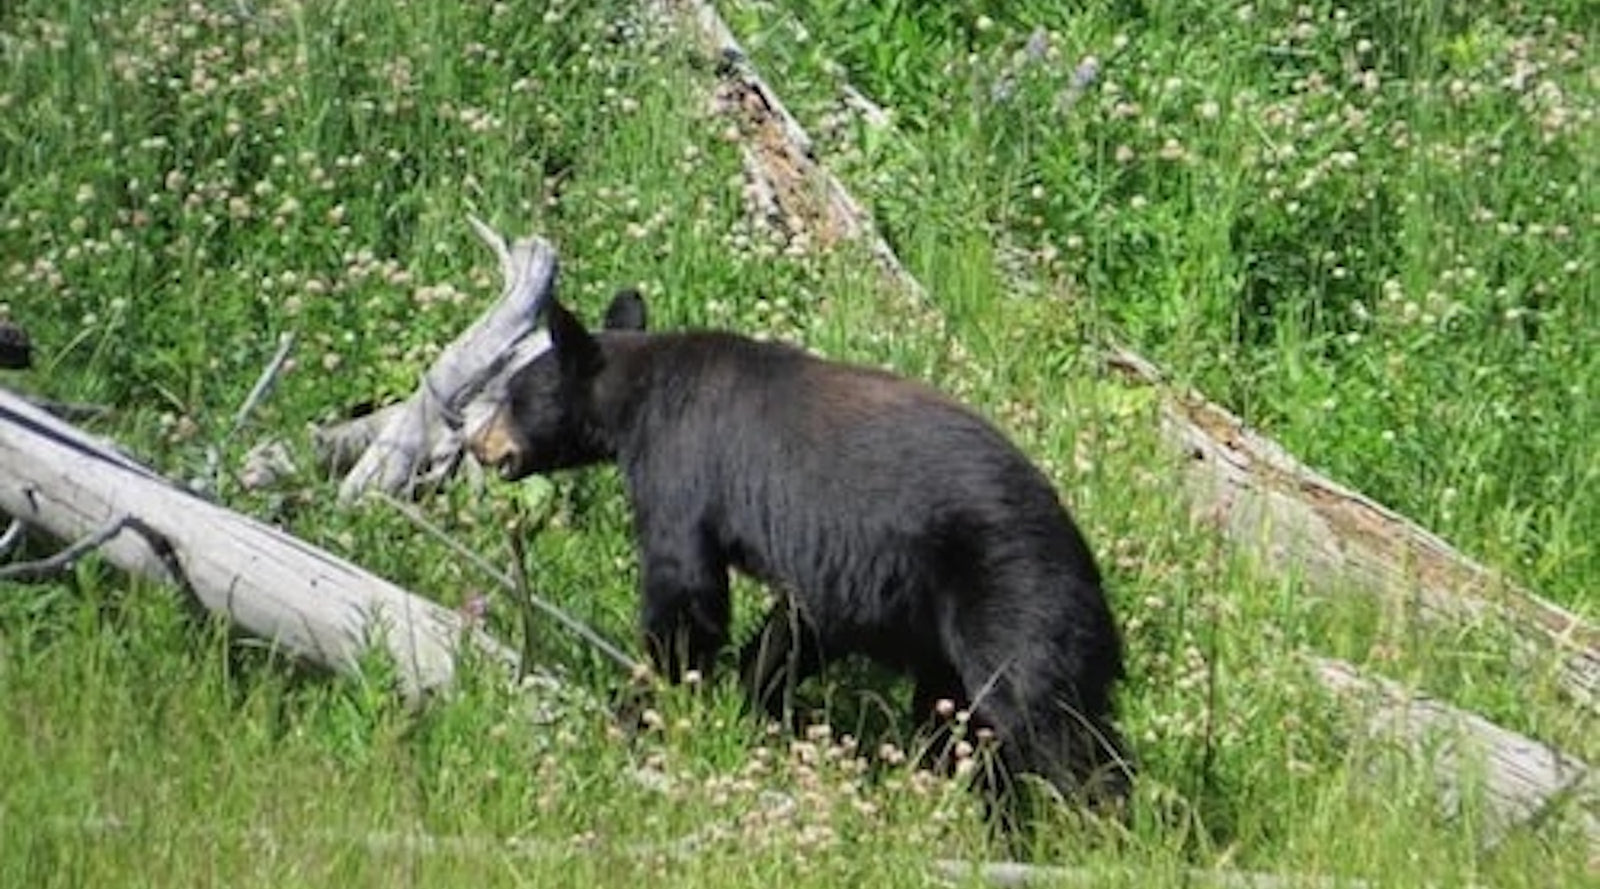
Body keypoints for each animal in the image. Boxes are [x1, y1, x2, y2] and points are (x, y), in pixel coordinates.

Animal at [468, 289, 1132, 816]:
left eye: (510, 394)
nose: (478, 443)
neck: (639, 396)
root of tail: (1087, 565)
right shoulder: (840, 577)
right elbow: (791, 630)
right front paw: (750, 704)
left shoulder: (682, 463)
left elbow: (686, 591)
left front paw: (639, 706)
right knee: (962, 720)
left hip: (1010, 596)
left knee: (1048, 719)